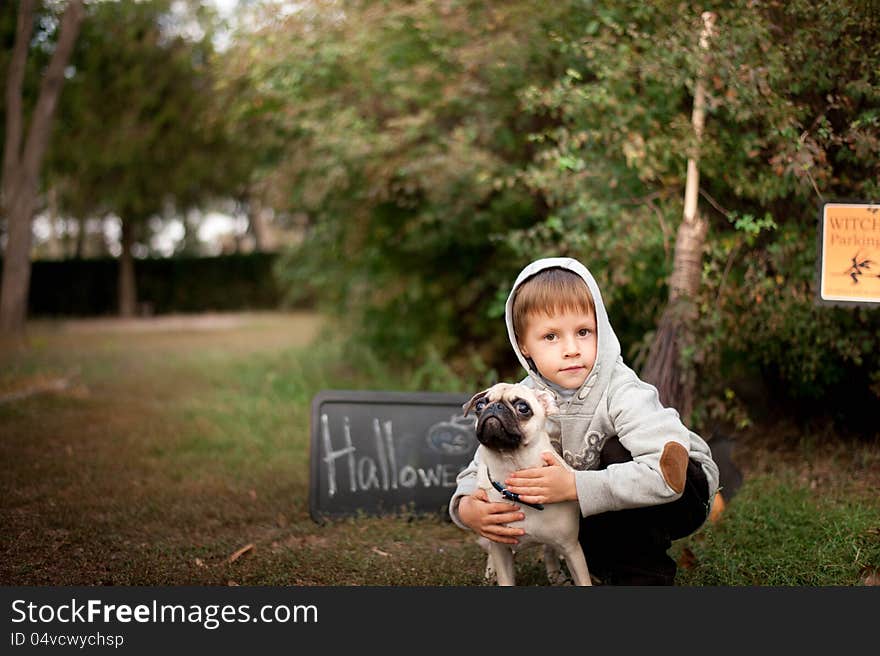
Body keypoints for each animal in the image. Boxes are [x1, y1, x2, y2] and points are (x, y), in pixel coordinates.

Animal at [460, 382, 592, 588]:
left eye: (523, 408)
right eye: (480, 405)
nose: (495, 406)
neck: (510, 465)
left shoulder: (572, 549)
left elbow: (583, 579)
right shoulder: (501, 548)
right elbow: (504, 577)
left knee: (549, 551)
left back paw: (555, 576)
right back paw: (490, 574)